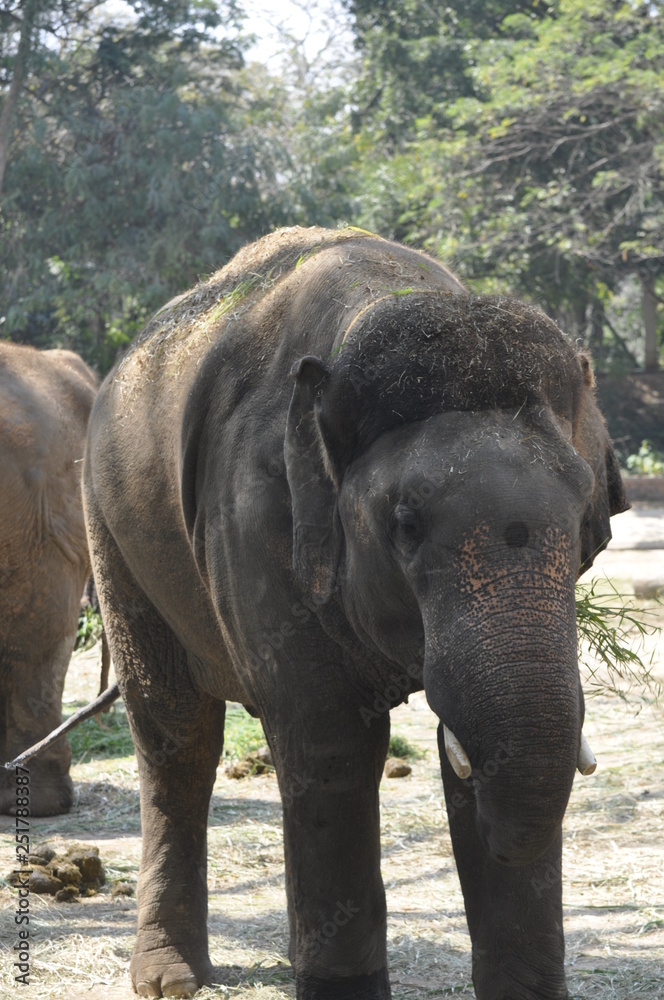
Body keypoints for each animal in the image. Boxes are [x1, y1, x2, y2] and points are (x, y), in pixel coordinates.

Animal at [83, 226, 629, 1000]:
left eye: (586, 526)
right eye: (405, 524)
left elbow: (467, 749)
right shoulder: (255, 522)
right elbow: (330, 746)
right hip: (110, 530)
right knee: (175, 738)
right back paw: (170, 978)